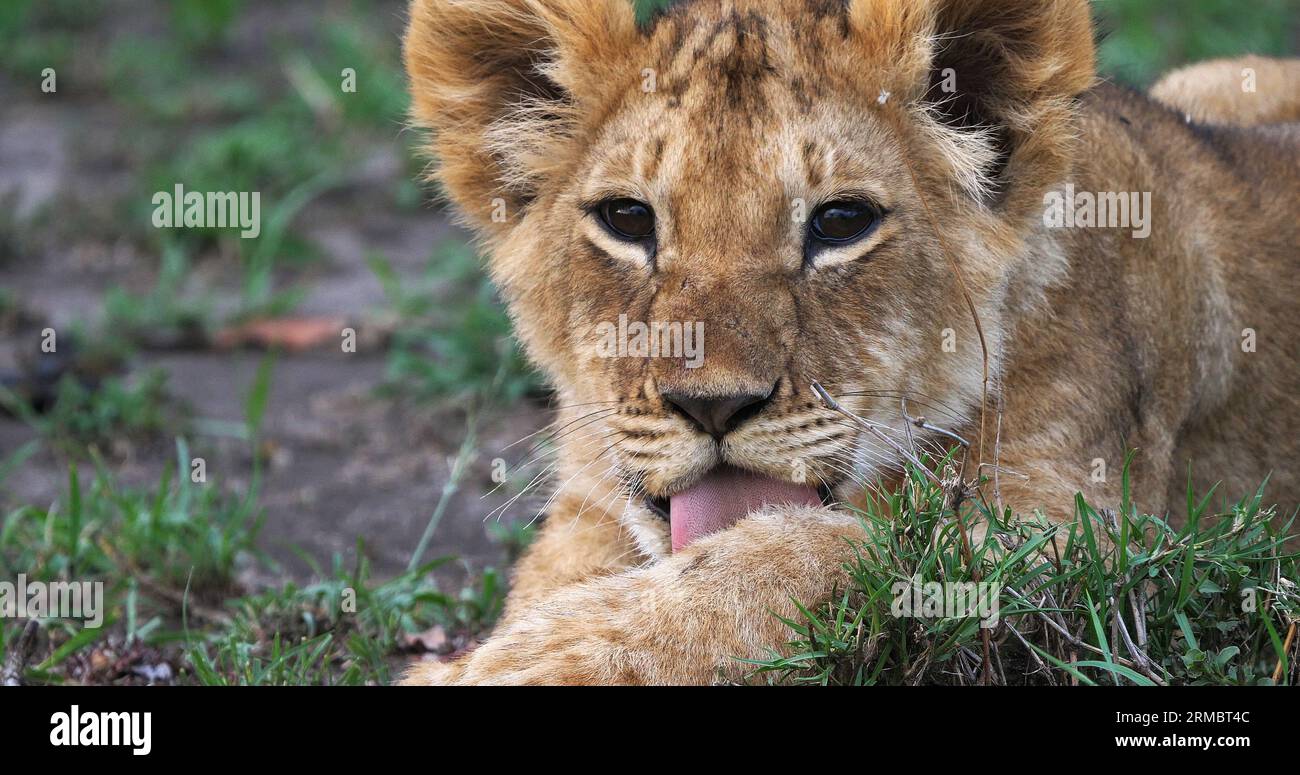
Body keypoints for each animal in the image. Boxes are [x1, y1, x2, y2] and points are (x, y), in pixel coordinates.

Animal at [400, 0, 1300, 684]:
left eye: (840, 222)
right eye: (627, 219)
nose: (712, 406)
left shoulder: (1085, 540)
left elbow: (815, 554)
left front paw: (516, 663)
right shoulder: (590, 496)